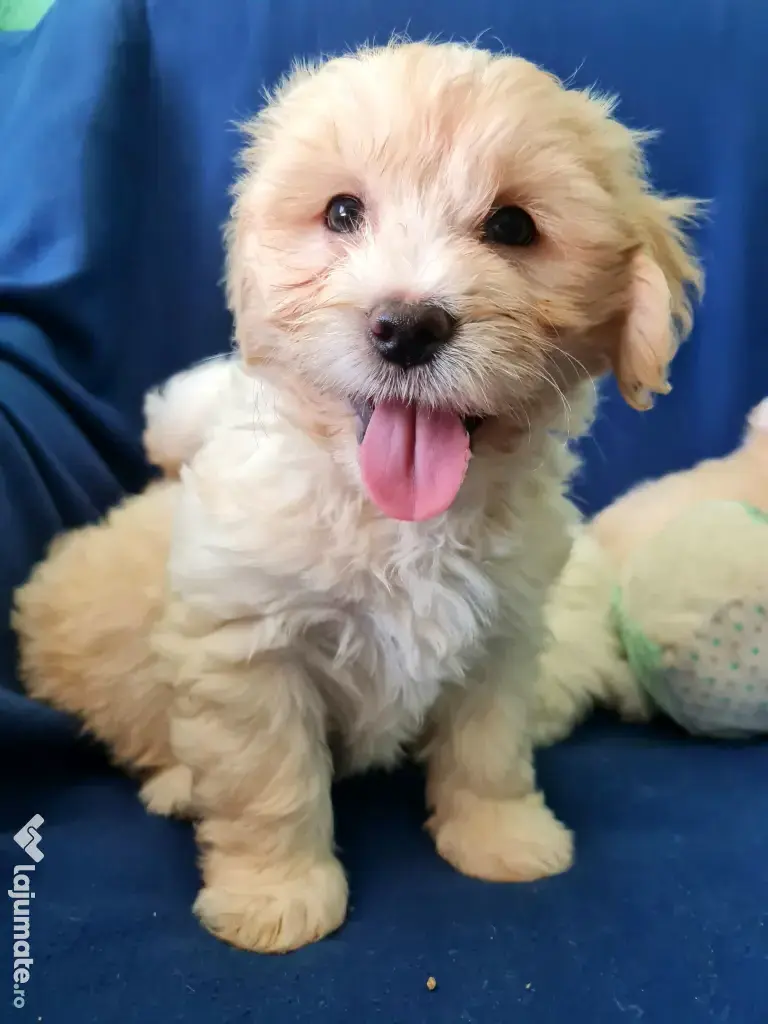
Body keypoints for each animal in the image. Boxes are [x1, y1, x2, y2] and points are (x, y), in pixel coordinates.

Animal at [13, 40, 701, 953]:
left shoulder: (504, 634)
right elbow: (268, 779)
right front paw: (276, 896)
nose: (406, 326)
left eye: (513, 227)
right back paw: (178, 786)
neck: (394, 514)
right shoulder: (246, 648)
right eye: (342, 213)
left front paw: (501, 837)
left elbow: (489, 748)